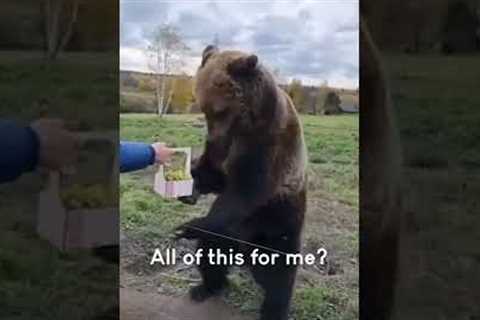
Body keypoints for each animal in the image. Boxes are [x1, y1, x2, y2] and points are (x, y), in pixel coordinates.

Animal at [176, 45, 308, 320]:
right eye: (203, 109)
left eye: (219, 110)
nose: (212, 137)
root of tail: (243, 252)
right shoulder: (224, 149)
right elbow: (215, 178)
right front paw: (189, 186)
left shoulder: (267, 145)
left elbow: (245, 192)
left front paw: (188, 226)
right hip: (223, 238)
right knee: (209, 255)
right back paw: (205, 287)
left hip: (276, 229)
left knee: (279, 277)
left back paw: (273, 311)